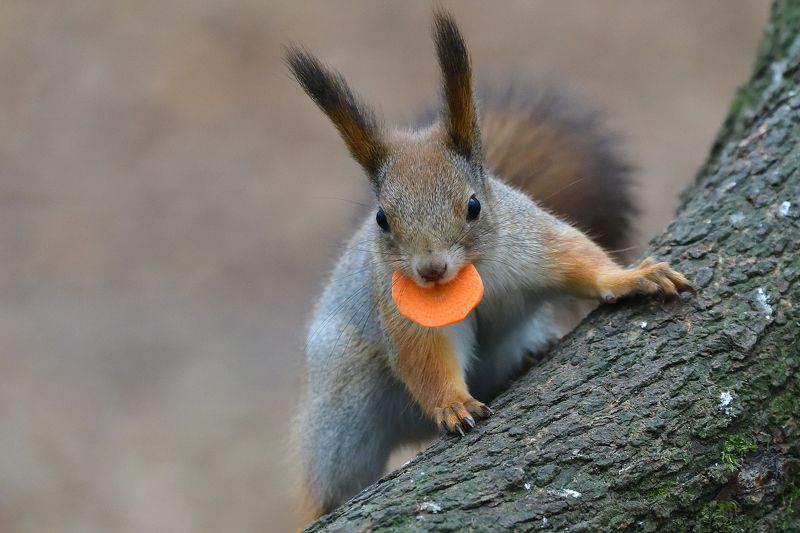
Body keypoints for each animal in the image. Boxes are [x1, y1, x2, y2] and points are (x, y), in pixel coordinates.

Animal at [286, 9, 693, 521]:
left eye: (474, 205)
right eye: (382, 219)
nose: (431, 270)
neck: (475, 274)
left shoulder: (532, 241)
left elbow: (579, 259)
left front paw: (634, 277)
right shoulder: (401, 313)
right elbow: (424, 358)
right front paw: (452, 405)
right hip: (344, 403)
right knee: (333, 482)